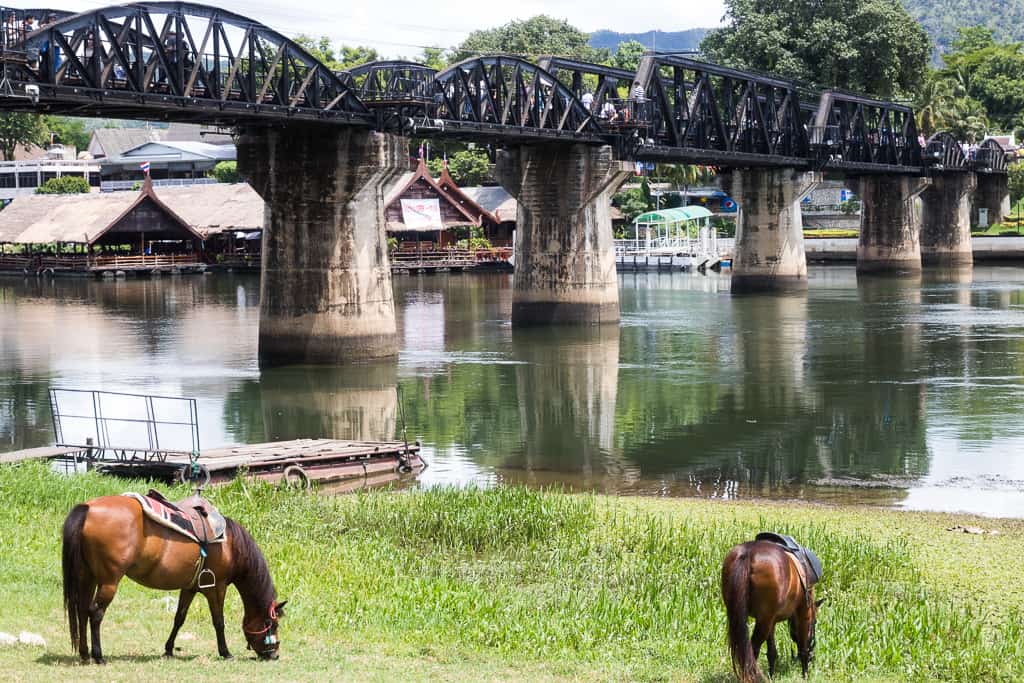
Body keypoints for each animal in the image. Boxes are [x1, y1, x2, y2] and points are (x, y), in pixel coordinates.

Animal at [61, 493, 286, 663]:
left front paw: (168, 649)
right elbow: (218, 621)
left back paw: (84, 654)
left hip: (87, 577)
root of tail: (88, 508)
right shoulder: (217, 587)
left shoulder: (190, 587)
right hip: (109, 582)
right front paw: (226, 652)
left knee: (82, 610)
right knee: (95, 613)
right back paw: (98, 656)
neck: (230, 545)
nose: (274, 654)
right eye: (272, 624)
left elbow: (179, 618)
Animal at [720, 540, 823, 683]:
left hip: (744, 617)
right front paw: (805, 675)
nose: (813, 657)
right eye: (815, 622)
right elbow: (803, 649)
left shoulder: (771, 620)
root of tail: (747, 553)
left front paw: (772, 675)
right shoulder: (803, 613)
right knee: (752, 649)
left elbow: (772, 652)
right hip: (763, 621)